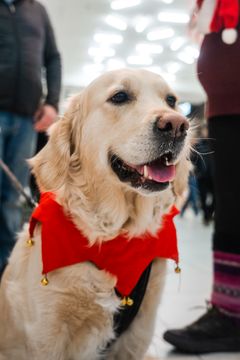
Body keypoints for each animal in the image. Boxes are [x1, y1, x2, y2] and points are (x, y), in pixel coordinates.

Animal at [0, 69, 191, 358]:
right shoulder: (46, 335)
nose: (178, 125)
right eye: (120, 96)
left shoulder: (139, 332)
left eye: (171, 101)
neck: (113, 235)